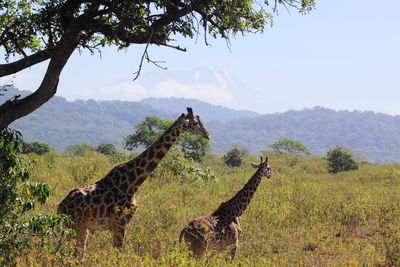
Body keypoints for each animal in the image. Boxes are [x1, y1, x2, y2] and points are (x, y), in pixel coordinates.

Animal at [58, 108, 212, 258]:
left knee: (77, 256)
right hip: (72, 225)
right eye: (195, 123)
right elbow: (117, 257)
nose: (208, 135)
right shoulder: (120, 224)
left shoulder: (120, 225)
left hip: (83, 228)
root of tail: (60, 207)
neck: (134, 182)